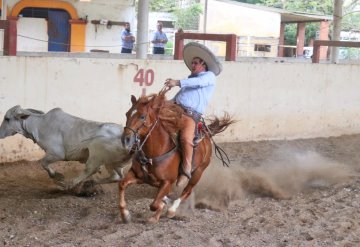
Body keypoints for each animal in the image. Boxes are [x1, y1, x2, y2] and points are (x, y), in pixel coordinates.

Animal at [0, 105, 131, 190]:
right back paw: (91, 183)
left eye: (7, 118)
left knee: (90, 169)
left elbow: (43, 163)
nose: (0, 133)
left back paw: (70, 184)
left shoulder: (56, 154)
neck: (39, 125)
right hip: (113, 163)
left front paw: (57, 176)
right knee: (117, 176)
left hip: (96, 155)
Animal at [119, 88, 235, 222]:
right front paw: (125, 215)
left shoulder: (167, 181)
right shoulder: (137, 175)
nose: (126, 139)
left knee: (186, 191)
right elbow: (122, 184)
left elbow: (155, 204)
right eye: (127, 114)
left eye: (142, 116)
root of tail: (206, 133)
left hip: (198, 172)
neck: (154, 153)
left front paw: (158, 211)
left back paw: (171, 210)